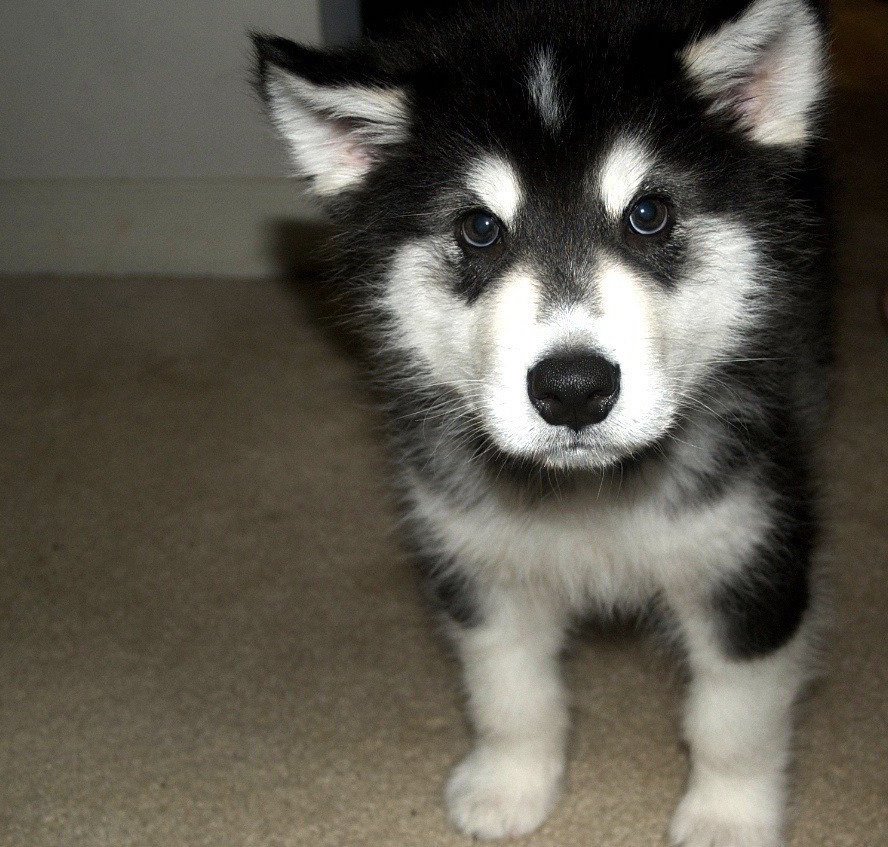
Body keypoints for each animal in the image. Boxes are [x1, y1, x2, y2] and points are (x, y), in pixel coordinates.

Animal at [251, 3, 832, 844]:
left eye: (649, 214)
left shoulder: (752, 555)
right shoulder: (476, 555)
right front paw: (511, 782)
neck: (592, 497)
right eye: (479, 228)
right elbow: (509, 690)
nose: (573, 389)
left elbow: (733, 716)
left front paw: (727, 814)